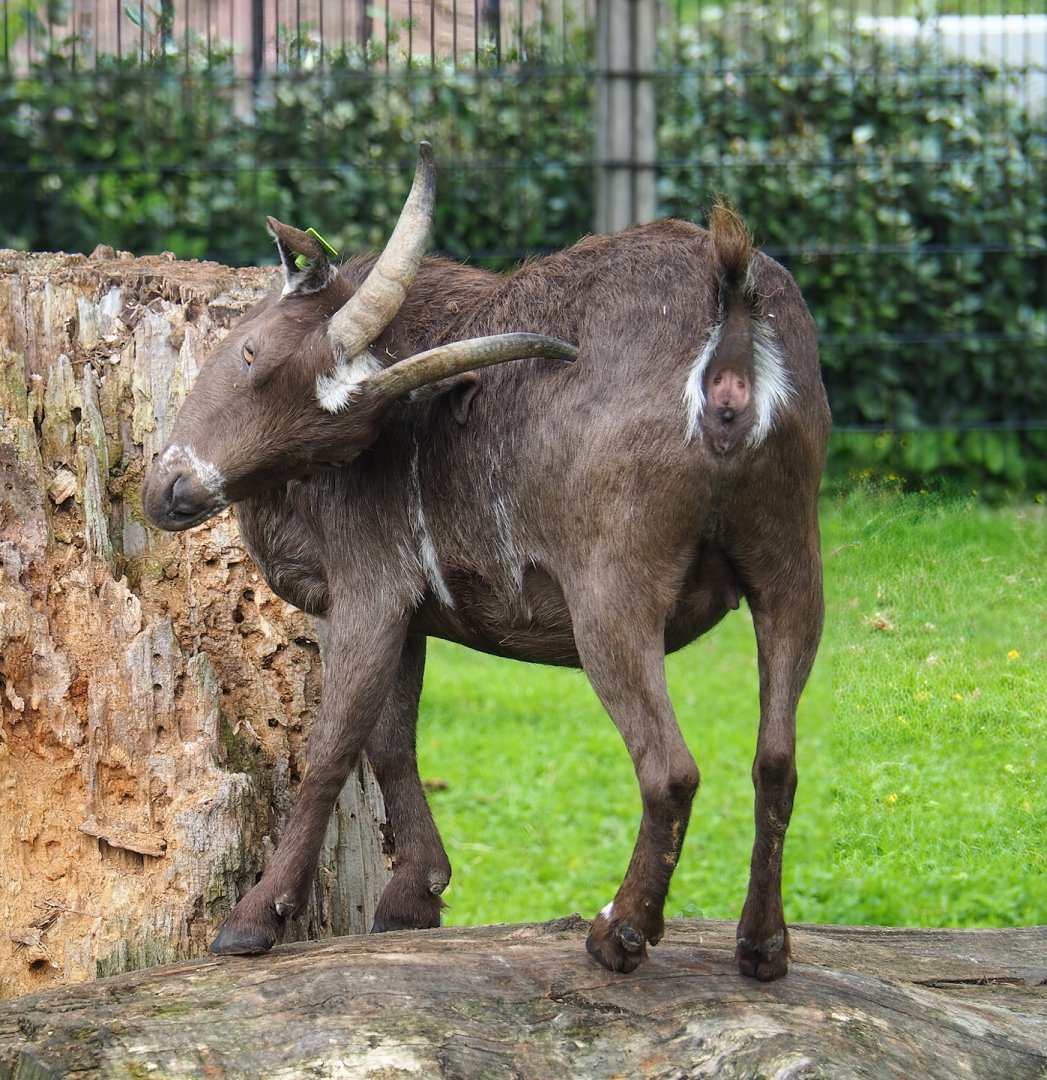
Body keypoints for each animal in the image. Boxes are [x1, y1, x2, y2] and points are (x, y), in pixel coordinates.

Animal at [142, 141, 830, 979]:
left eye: (336, 440)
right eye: (246, 355)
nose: (175, 492)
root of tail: (730, 329)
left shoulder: (370, 591)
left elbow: (335, 747)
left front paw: (254, 919)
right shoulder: (410, 609)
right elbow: (390, 739)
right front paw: (415, 896)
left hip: (614, 590)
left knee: (669, 768)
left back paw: (619, 933)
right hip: (789, 562)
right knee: (776, 758)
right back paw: (761, 947)